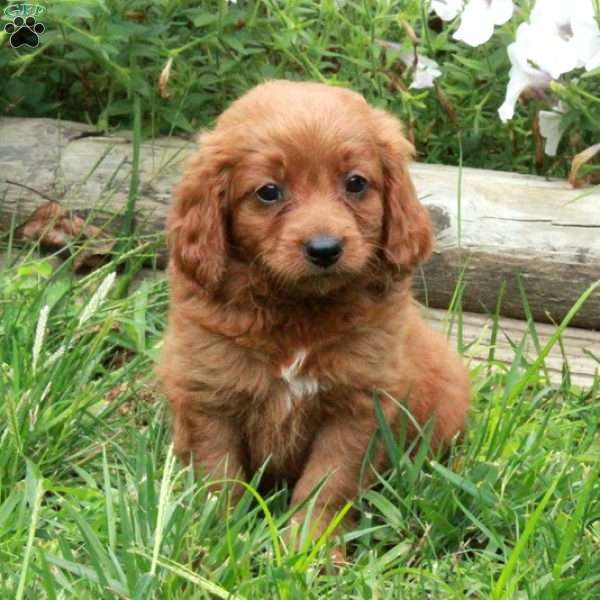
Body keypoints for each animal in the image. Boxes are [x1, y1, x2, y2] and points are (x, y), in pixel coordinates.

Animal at [158, 78, 468, 540]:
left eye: (356, 183)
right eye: (268, 192)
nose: (325, 249)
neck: (297, 310)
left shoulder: (357, 409)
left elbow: (327, 486)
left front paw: (311, 546)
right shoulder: (208, 396)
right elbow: (220, 476)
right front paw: (219, 536)